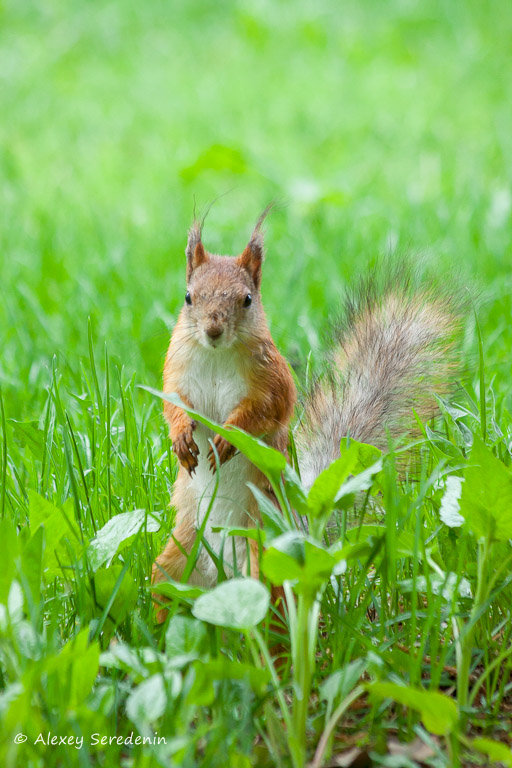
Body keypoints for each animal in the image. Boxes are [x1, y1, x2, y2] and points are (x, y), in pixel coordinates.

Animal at [152, 208, 460, 612]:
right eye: (188, 297)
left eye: (247, 299)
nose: (213, 330)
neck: (217, 355)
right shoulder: (176, 374)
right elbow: (173, 406)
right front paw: (181, 439)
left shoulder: (273, 382)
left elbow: (265, 411)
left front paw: (228, 437)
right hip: (177, 560)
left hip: (264, 560)